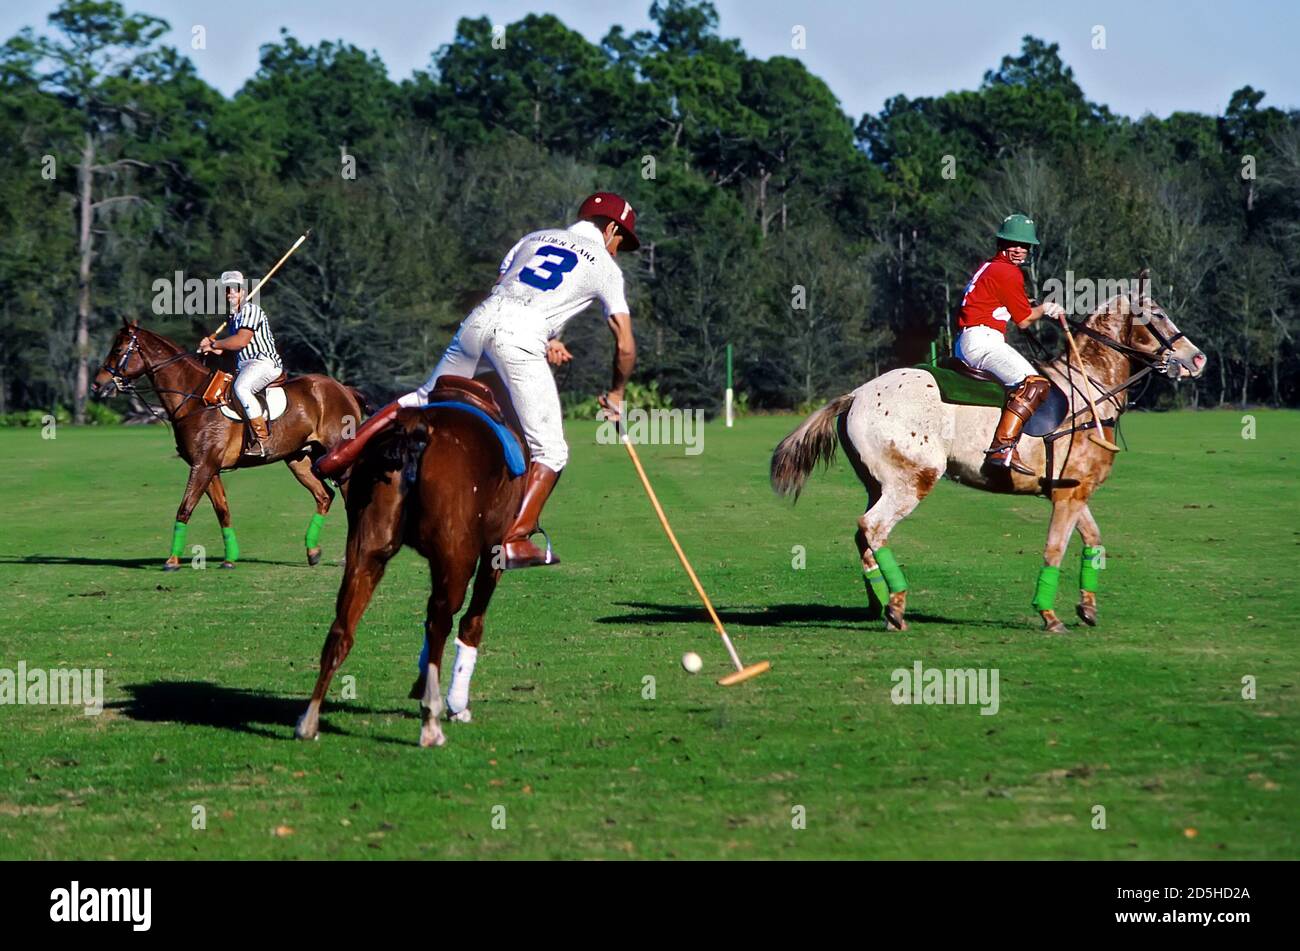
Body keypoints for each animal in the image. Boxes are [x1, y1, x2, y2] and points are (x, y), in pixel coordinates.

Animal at [91, 319, 366, 571]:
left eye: (118, 349)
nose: (97, 385)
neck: (193, 399)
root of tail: (345, 389)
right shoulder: (209, 467)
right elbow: (223, 510)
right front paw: (229, 558)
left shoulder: (203, 465)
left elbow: (185, 508)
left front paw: (172, 561)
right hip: (299, 458)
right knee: (324, 495)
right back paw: (313, 551)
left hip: (337, 451)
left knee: (347, 494)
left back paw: (346, 557)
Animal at [296, 374, 527, 748]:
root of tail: (415, 431)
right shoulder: (492, 550)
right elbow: (471, 621)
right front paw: (455, 704)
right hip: (455, 555)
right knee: (441, 621)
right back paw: (431, 722)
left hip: (366, 549)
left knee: (341, 629)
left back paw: (309, 721)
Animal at [769, 285, 1206, 634]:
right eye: (1158, 315)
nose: (1199, 359)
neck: (1090, 391)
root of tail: (856, 395)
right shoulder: (1067, 496)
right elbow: (1054, 549)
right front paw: (1049, 616)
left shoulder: (1072, 491)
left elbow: (1094, 541)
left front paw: (1087, 608)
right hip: (913, 480)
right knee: (873, 528)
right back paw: (896, 605)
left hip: (877, 482)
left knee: (863, 534)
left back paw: (880, 603)